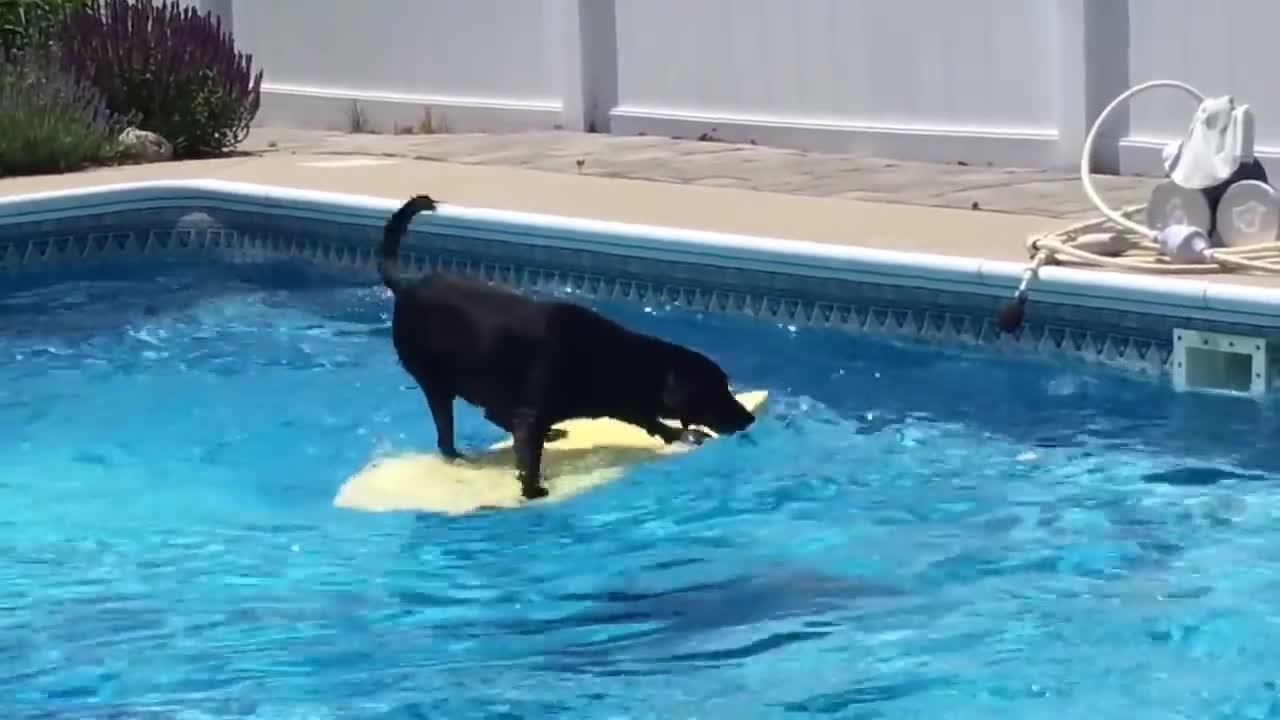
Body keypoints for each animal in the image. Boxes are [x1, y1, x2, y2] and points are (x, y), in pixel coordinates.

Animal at [373, 193, 752, 502]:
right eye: (715, 390)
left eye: (726, 385)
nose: (748, 418)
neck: (620, 359)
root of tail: (406, 286)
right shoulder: (533, 415)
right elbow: (529, 458)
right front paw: (533, 492)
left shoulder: (623, 401)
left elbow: (650, 419)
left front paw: (680, 434)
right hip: (436, 383)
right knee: (447, 435)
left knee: (491, 414)